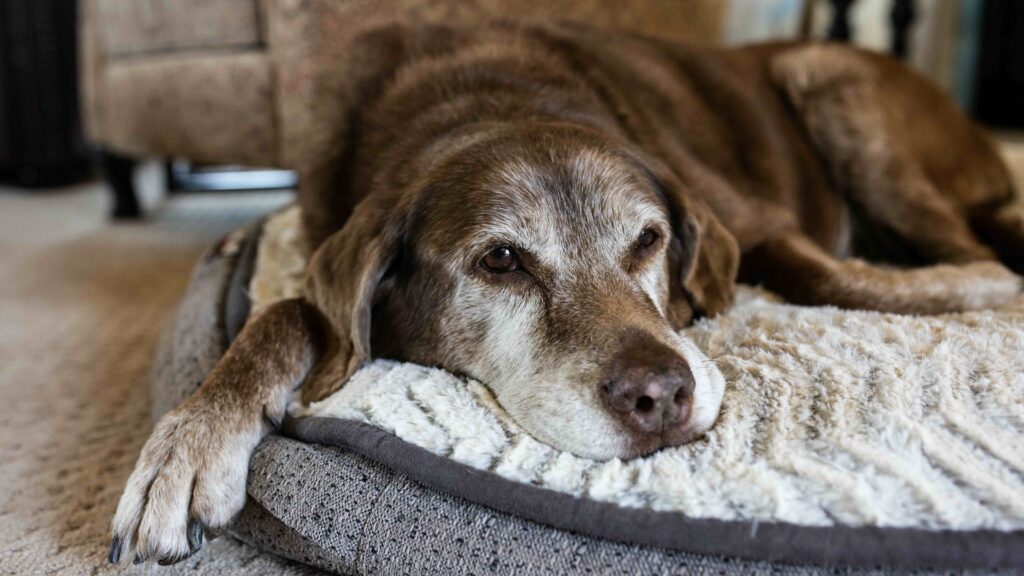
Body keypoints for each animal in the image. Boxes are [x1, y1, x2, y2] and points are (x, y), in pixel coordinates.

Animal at [108, 20, 1019, 561]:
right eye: (503, 261)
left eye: (649, 240)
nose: (660, 398)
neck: (485, 99)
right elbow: (290, 312)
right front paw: (188, 444)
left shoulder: (753, 222)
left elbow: (821, 273)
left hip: (832, 82)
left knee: (973, 246)